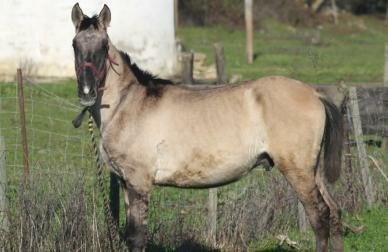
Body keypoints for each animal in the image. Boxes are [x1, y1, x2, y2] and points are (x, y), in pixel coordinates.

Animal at [71, 3, 344, 252]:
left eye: (103, 46)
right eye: (75, 45)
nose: (86, 92)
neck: (129, 103)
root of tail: (314, 94)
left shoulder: (139, 182)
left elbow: (137, 238)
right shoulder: (126, 183)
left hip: (298, 172)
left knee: (319, 216)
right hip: (312, 171)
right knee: (334, 212)